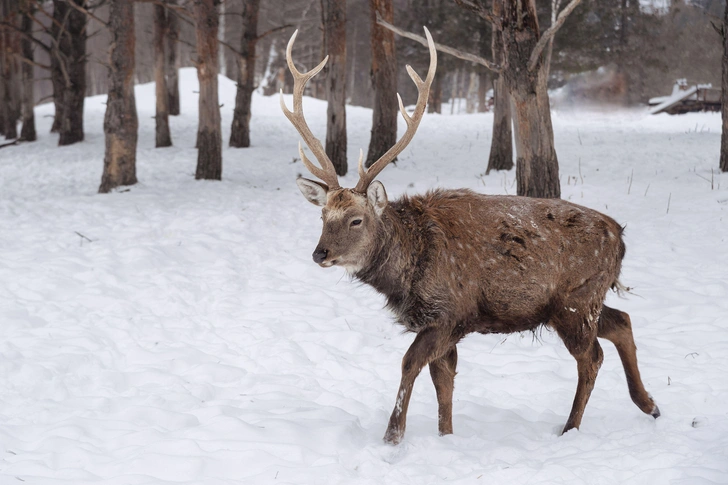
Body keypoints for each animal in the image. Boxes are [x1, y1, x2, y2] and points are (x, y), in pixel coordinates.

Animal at [278, 28, 660, 444]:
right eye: (323, 214)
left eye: (356, 220)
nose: (320, 253)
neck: (408, 272)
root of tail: (620, 238)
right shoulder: (441, 324)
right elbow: (443, 380)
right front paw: (446, 436)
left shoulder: (449, 312)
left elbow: (410, 364)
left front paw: (393, 436)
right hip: (579, 302)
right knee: (621, 321)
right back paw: (649, 404)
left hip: (577, 300)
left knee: (592, 357)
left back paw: (570, 427)